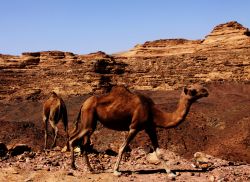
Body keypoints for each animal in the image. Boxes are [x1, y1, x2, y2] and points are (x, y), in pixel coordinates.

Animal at [69, 84, 208, 176]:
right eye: (193, 90)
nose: (206, 91)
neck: (153, 112)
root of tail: (83, 104)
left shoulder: (150, 127)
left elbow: (158, 152)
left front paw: (170, 172)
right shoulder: (134, 127)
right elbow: (123, 147)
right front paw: (116, 171)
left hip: (90, 122)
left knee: (83, 143)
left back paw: (90, 169)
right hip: (89, 119)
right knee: (73, 140)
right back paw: (74, 167)